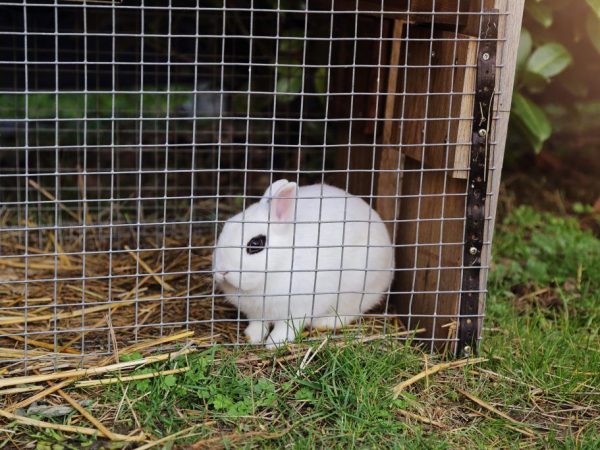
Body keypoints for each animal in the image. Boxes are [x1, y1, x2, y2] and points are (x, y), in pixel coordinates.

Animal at [211, 179, 394, 348]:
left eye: (256, 244)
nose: (222, 271)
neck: (280, 265)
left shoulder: (299, 308)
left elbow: (287, 327)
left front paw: (275, 343)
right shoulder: (256, 313)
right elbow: (257, 324)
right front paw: (252, 337)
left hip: (356, 288)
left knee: (351, 311)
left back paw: (324, 323)